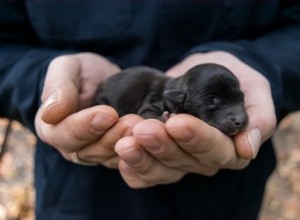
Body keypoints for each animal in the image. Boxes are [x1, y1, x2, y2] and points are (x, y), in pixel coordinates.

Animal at [96, 63, 248, 136]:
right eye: (214, 100)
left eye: (241, 99)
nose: (241, 121)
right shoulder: (153, 100)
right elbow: (147, 111)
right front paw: (164, 117)